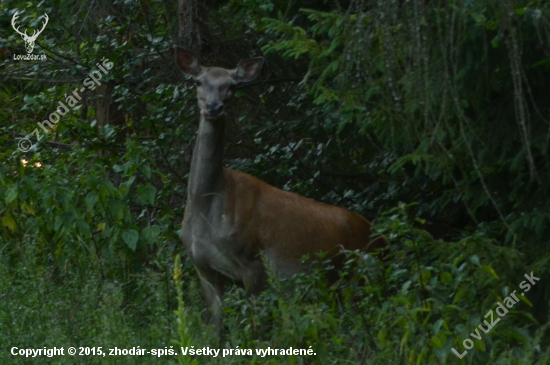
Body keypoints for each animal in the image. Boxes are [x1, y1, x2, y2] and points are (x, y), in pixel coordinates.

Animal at [177, 47, 388, 334]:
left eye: (232, 86)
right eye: (198, 81)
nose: (214, 107)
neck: (205, 209)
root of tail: (383, 239)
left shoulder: (254, 262)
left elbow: (255, 330)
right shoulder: (204, 269)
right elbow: (215, 332)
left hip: (363, 272)